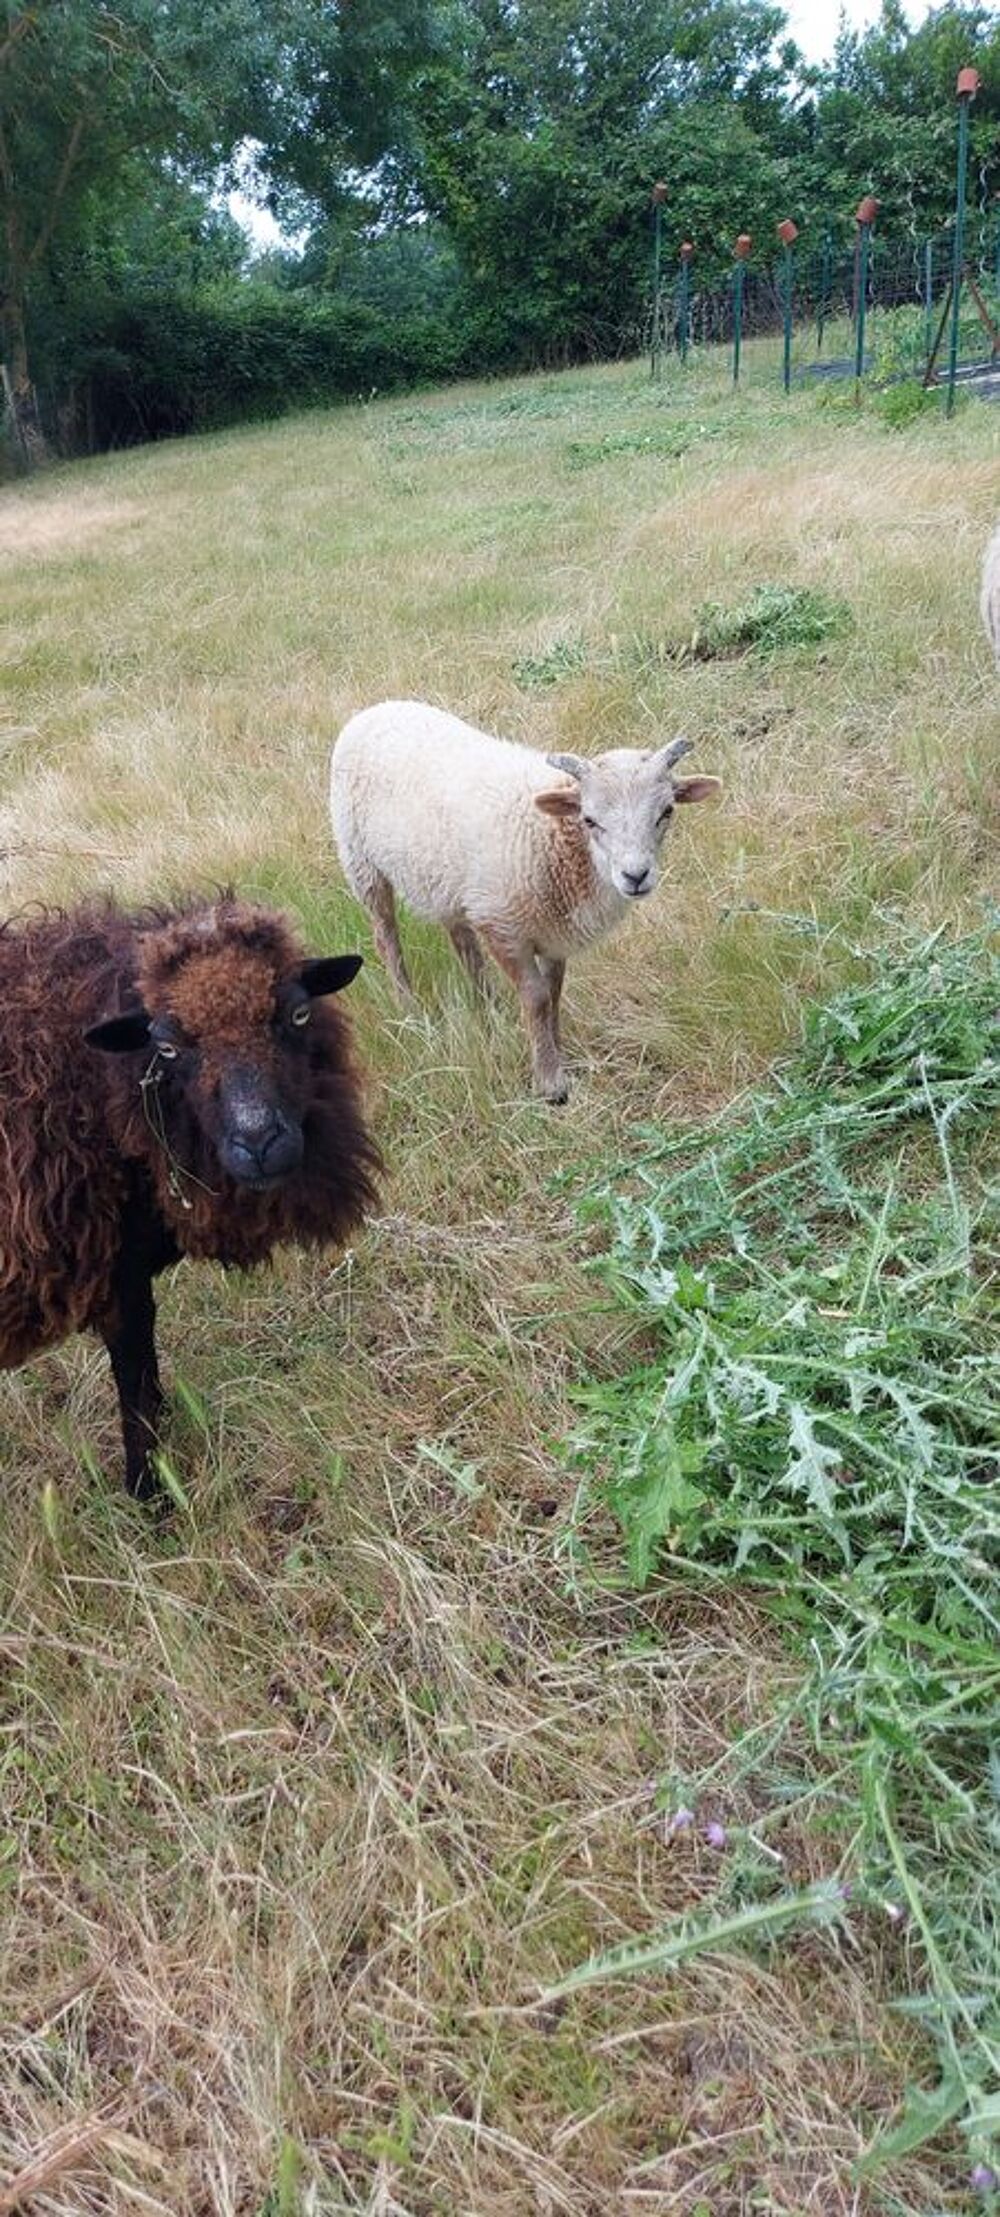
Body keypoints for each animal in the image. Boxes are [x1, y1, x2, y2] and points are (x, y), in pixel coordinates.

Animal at [0, 894, 380, 1498]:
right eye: (169, 1047)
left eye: (297, 1014)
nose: (260, 1144)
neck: (102, 1092)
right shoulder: (120, 1280)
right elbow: (136, 1385)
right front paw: (149, 1494)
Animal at [330, 698, 721, 1103]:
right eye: (589, 819)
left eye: (667, 811)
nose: (636, 876)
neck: (554, 841)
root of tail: (378, 708)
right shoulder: (502, 926)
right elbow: (536, 998)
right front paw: (550, 1082)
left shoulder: (553, 933)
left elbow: (554, 993)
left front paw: (558, 1053)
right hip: (360, 860)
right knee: (386, 937)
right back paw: (409, 1011)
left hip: (449, 883)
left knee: (462, 941)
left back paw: (489, 1007)